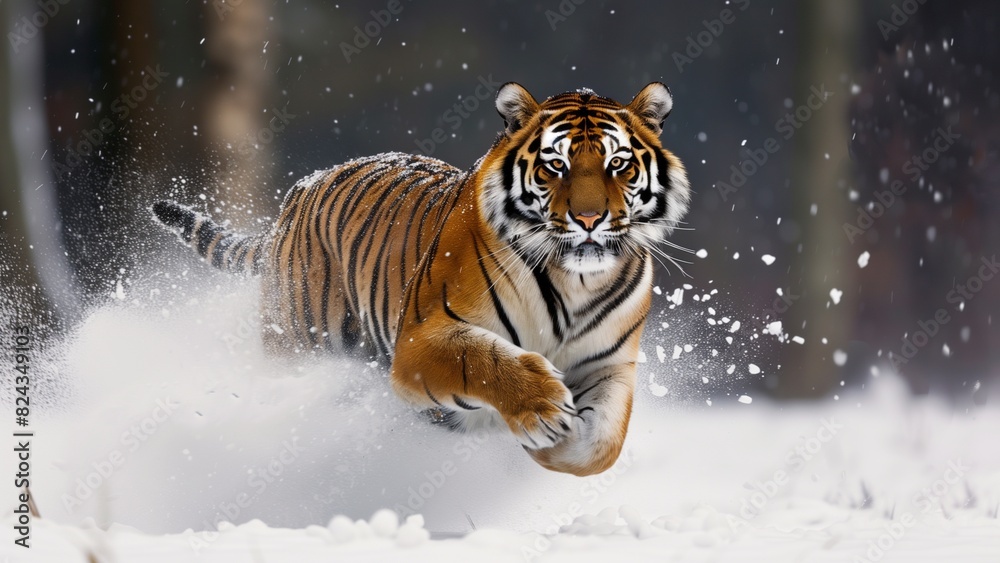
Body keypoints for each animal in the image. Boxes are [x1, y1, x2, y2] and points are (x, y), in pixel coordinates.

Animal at [152, 82, 690, 476]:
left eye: (618, 164)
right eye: (554, 165)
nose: (589, 219)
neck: (574, 281)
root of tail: (302, 187)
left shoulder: (610, 365)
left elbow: (601, 447)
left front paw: (550, 446)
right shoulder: (421, 336)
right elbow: (486, 360)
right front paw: (541, 411)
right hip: (298, 341)